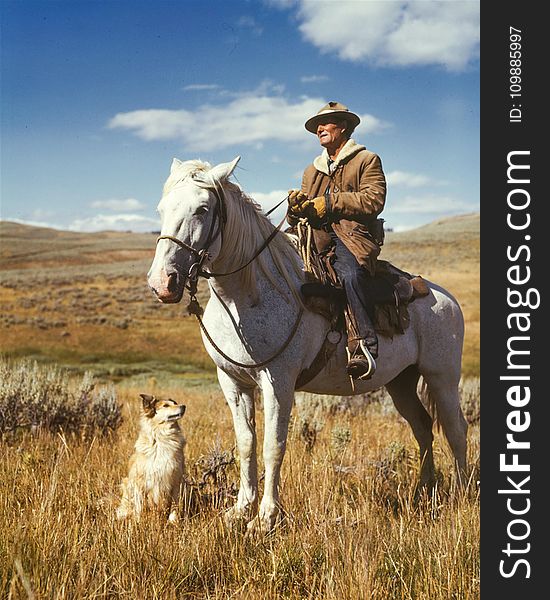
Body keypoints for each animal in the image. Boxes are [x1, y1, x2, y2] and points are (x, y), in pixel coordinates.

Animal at [148, 157, 470, 532]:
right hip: (400, 382)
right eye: (161, 208)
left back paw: (460, 495)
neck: (249, 294)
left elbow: (273, 445)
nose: (162, 282)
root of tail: (445, 297)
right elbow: (246, 443)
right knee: (423, 428)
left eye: (202, 208)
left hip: (442, 377)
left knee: (456, 430)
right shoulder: (232, 382)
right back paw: (423, 492)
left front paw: (265, 518)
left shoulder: (278, 381)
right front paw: (241, 509)